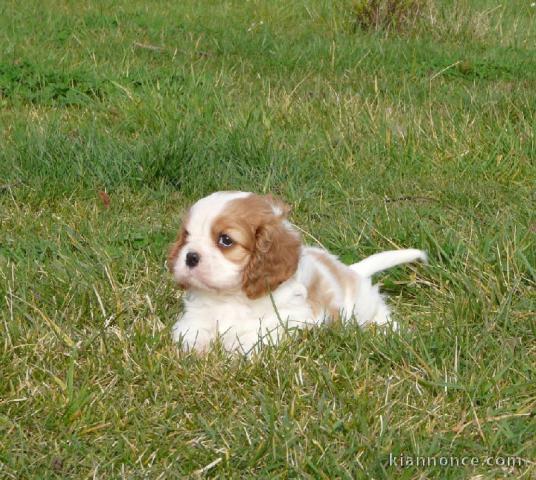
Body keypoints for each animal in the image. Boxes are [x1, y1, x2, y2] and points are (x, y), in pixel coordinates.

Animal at [168, 191, 428, 352]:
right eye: (187, 236)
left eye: (225, 240)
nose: (190, 257)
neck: (232, 297)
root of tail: (354, 271)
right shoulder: (197, 316)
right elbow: (191, 333)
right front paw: (197, 352)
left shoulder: (283, 319)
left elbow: (254, 337)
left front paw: (234, 352)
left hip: (366, 310)